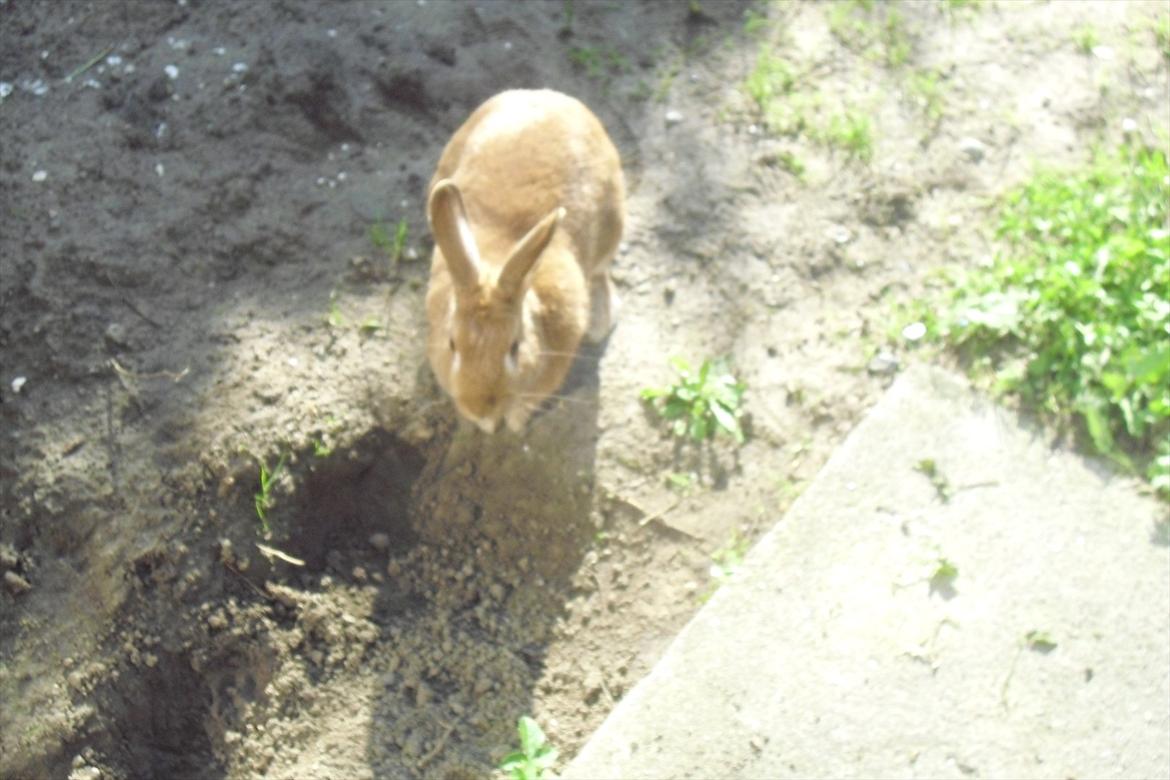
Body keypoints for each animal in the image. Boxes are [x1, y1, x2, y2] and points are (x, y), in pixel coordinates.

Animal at [425, 92, 627, 437]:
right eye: (452, 343)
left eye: (514, 347)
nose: (478, 407)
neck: (494, 263)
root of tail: (553, 97)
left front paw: (513, 422)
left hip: (613, 224)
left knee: (601, 272)